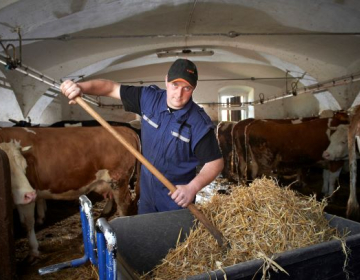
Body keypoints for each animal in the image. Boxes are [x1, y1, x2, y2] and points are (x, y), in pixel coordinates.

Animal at [0, 126, 141, 260]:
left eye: (24, 166)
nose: (29, 194)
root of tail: (125, 129)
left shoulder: (28, 194)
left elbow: (28, 223)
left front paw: (33, 251)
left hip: (119, 180)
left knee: (124, 205)